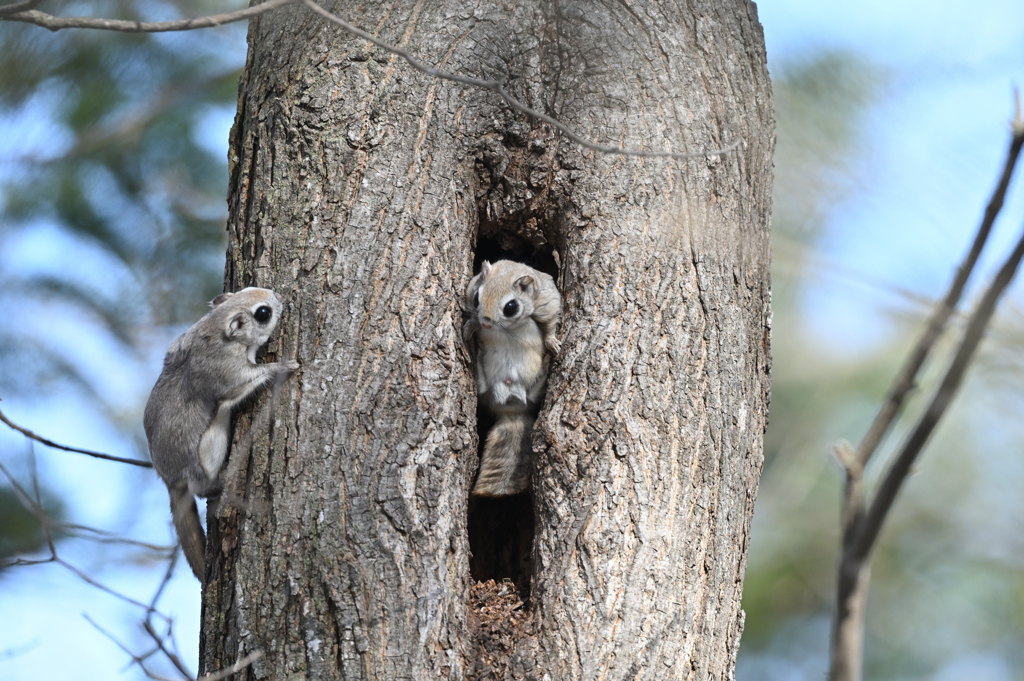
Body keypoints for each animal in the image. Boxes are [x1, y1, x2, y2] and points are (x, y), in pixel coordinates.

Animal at [144, 286, 299, 577]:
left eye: (246, 290)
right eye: (263, 313)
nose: (281, 297)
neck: (214, 331)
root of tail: (170, 479)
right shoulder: (229, 373)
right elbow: (248, 380)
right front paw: (282, 366)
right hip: (209, 447)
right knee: (202, 488)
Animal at [462, 259, 561, 493]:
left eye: (511, 307)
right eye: (476, 298)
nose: (486, 322)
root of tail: (511, 407)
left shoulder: (547, 302)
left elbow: (550, 322)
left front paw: (552, 342)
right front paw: (471, 326)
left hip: (530, 392)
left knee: (534, 393)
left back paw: (546, 363)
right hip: (487, 390)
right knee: (482, 386)